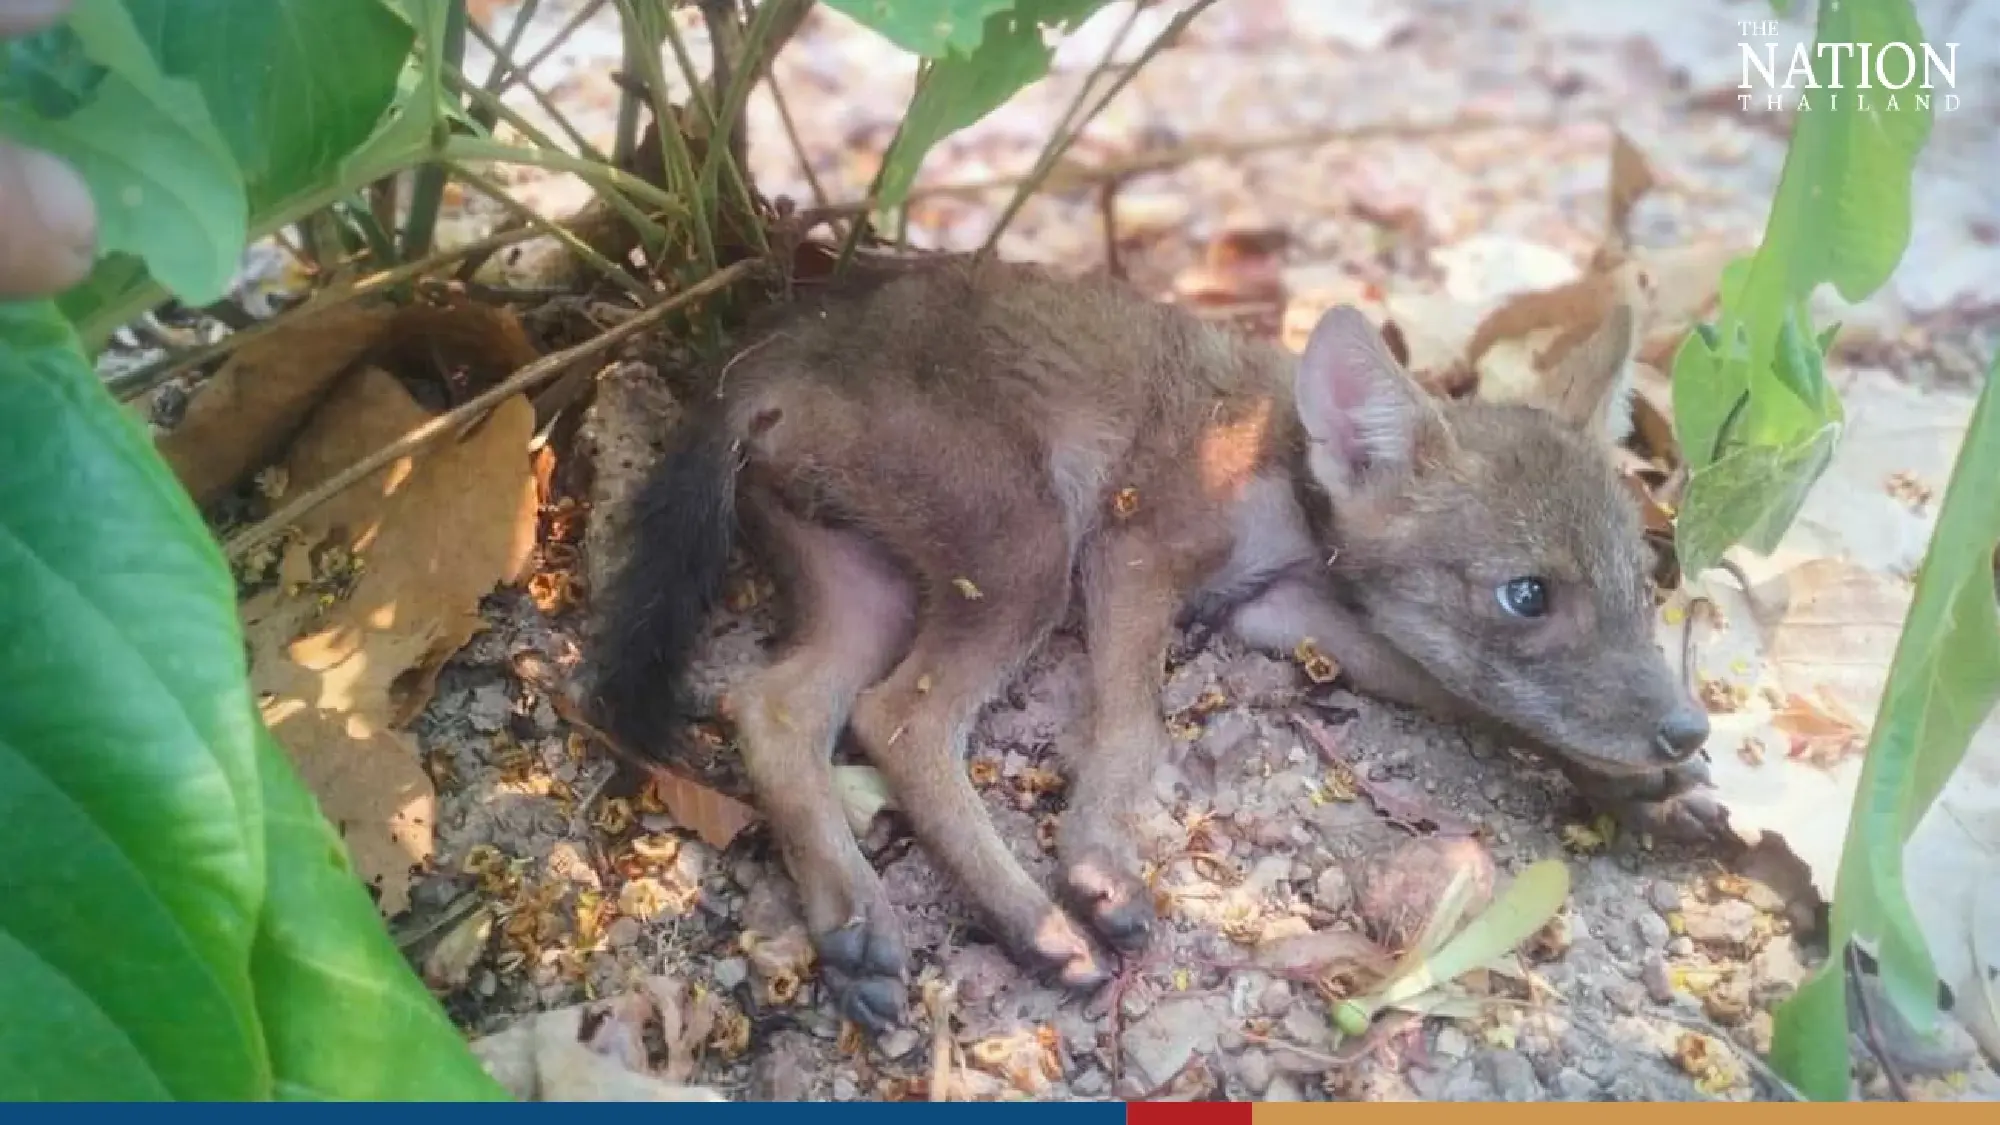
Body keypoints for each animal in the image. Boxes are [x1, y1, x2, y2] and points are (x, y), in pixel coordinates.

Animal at [586, 253, 1722, 1032]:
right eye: (1526, 594)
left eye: (1645, 586)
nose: (1685, 727)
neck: (1280, 458)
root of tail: (768, 352)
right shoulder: (1133, 559)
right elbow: (1134, 732)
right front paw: (1097, 862)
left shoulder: (1291, 615)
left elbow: (1476, 699)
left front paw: (1644, 791)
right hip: (1025, 558)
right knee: (899, 719)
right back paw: (1037, 927)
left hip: (871, 590)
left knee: (774, 706)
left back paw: (854, 919)